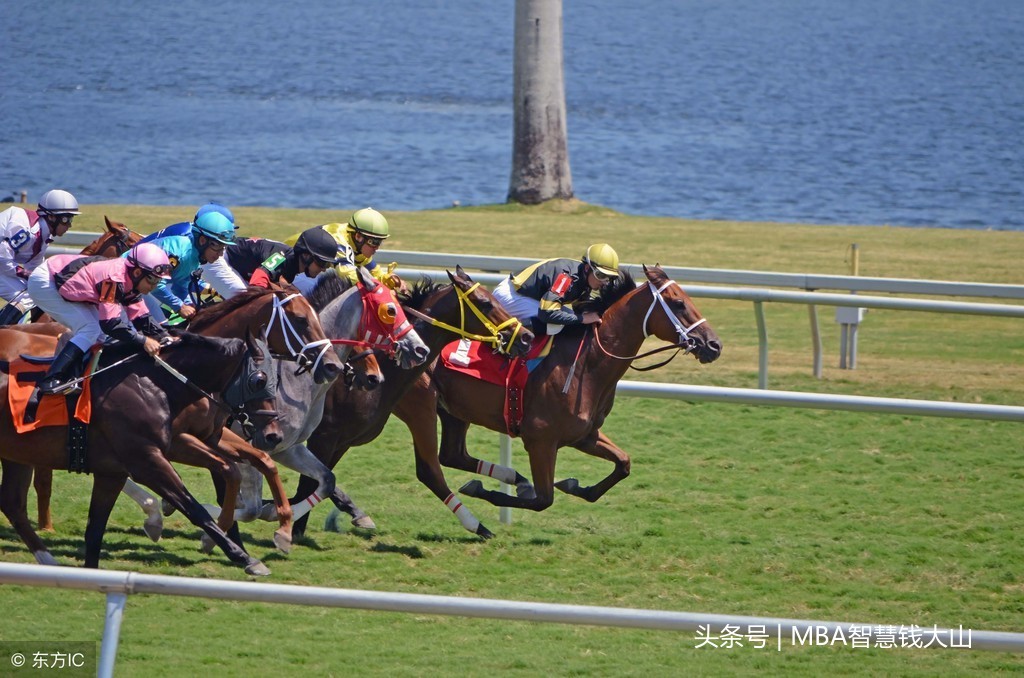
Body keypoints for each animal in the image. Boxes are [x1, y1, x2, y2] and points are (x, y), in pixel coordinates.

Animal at [0, 329, 280, 573]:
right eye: (259, 380)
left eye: (277, 378)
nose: (273, 433)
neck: (155, 385)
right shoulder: (147, 461)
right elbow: (195, 508)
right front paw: (243, 556)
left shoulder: (116, 471)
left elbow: (95, 530)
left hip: (17, 456)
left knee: (12, 503)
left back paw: (48, 560)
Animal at [296, 268, 536, 540]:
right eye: (486, 303)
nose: (526, 337)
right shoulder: (324, 436)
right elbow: (311, 483)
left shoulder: (341, 440)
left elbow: (320, 480)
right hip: (424, 409)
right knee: (432, 468)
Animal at [428, 264, 724, 516]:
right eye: (678, 303)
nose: (714, 345)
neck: (587, 364)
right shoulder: (540, 441)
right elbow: (543, 500)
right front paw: (489, 490)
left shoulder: (584, 435)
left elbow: (624, 463)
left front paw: (575, 485)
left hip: (454, 413)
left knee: (452, 455)